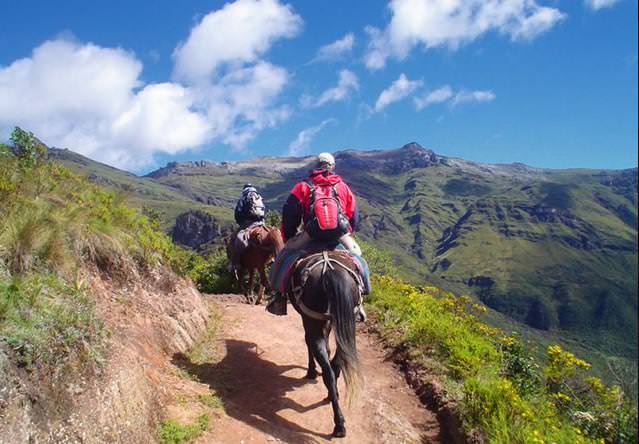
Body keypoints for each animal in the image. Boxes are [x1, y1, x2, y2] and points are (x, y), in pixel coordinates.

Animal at [288, 250, 364, 438]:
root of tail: (330, 270)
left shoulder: (309, 320)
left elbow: (309, 343)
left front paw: (311, 371)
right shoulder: (327, 320)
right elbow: (328, 350)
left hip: (314, 319)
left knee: (326, 365)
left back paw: (338, 423)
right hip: (347, 321)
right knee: (336, 363)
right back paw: (334, 399)